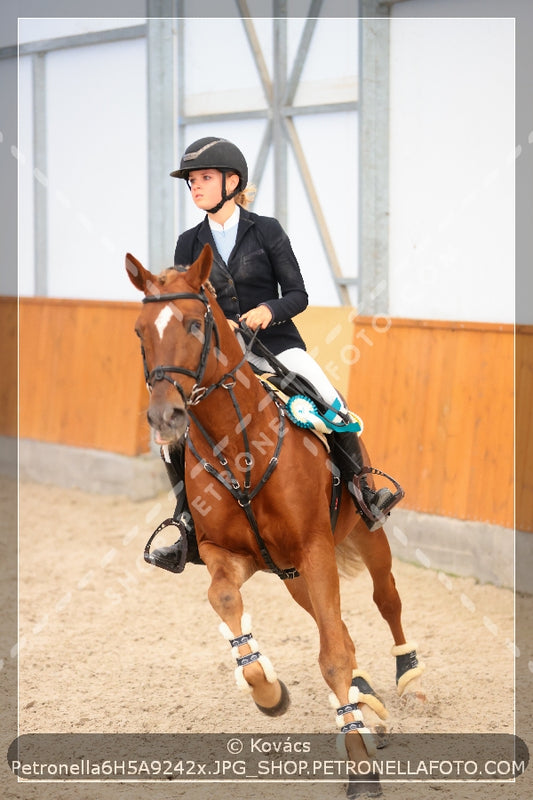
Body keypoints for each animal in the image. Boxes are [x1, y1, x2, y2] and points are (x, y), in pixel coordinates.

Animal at [124, 247, 424, 796]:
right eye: (139, 332)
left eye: (195, 324)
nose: (165, 418)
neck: (239, 446)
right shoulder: (228, 554)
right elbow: (225, 601)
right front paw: (267, 690)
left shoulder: (316, 547)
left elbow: (333, 655)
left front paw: (359, 765)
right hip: (292, 575)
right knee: (336, 626)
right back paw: (364, 697)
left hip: (364, 535)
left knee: (385, 599)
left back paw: (410, 678)